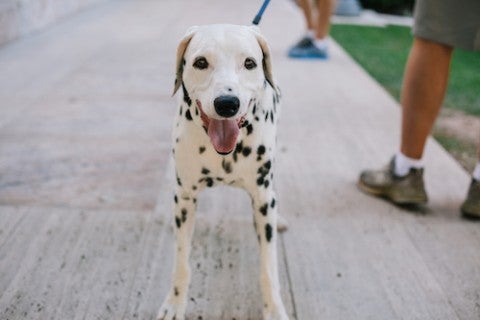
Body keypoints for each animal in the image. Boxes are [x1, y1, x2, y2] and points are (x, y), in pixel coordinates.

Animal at [158, 24, 288, 320]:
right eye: (200, 62)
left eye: (249, 63)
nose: (227, 103)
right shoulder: (185, 198)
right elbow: (181, 263)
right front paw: (175, 303)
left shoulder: (262, 200)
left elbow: (269, 267)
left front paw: (274, 308)